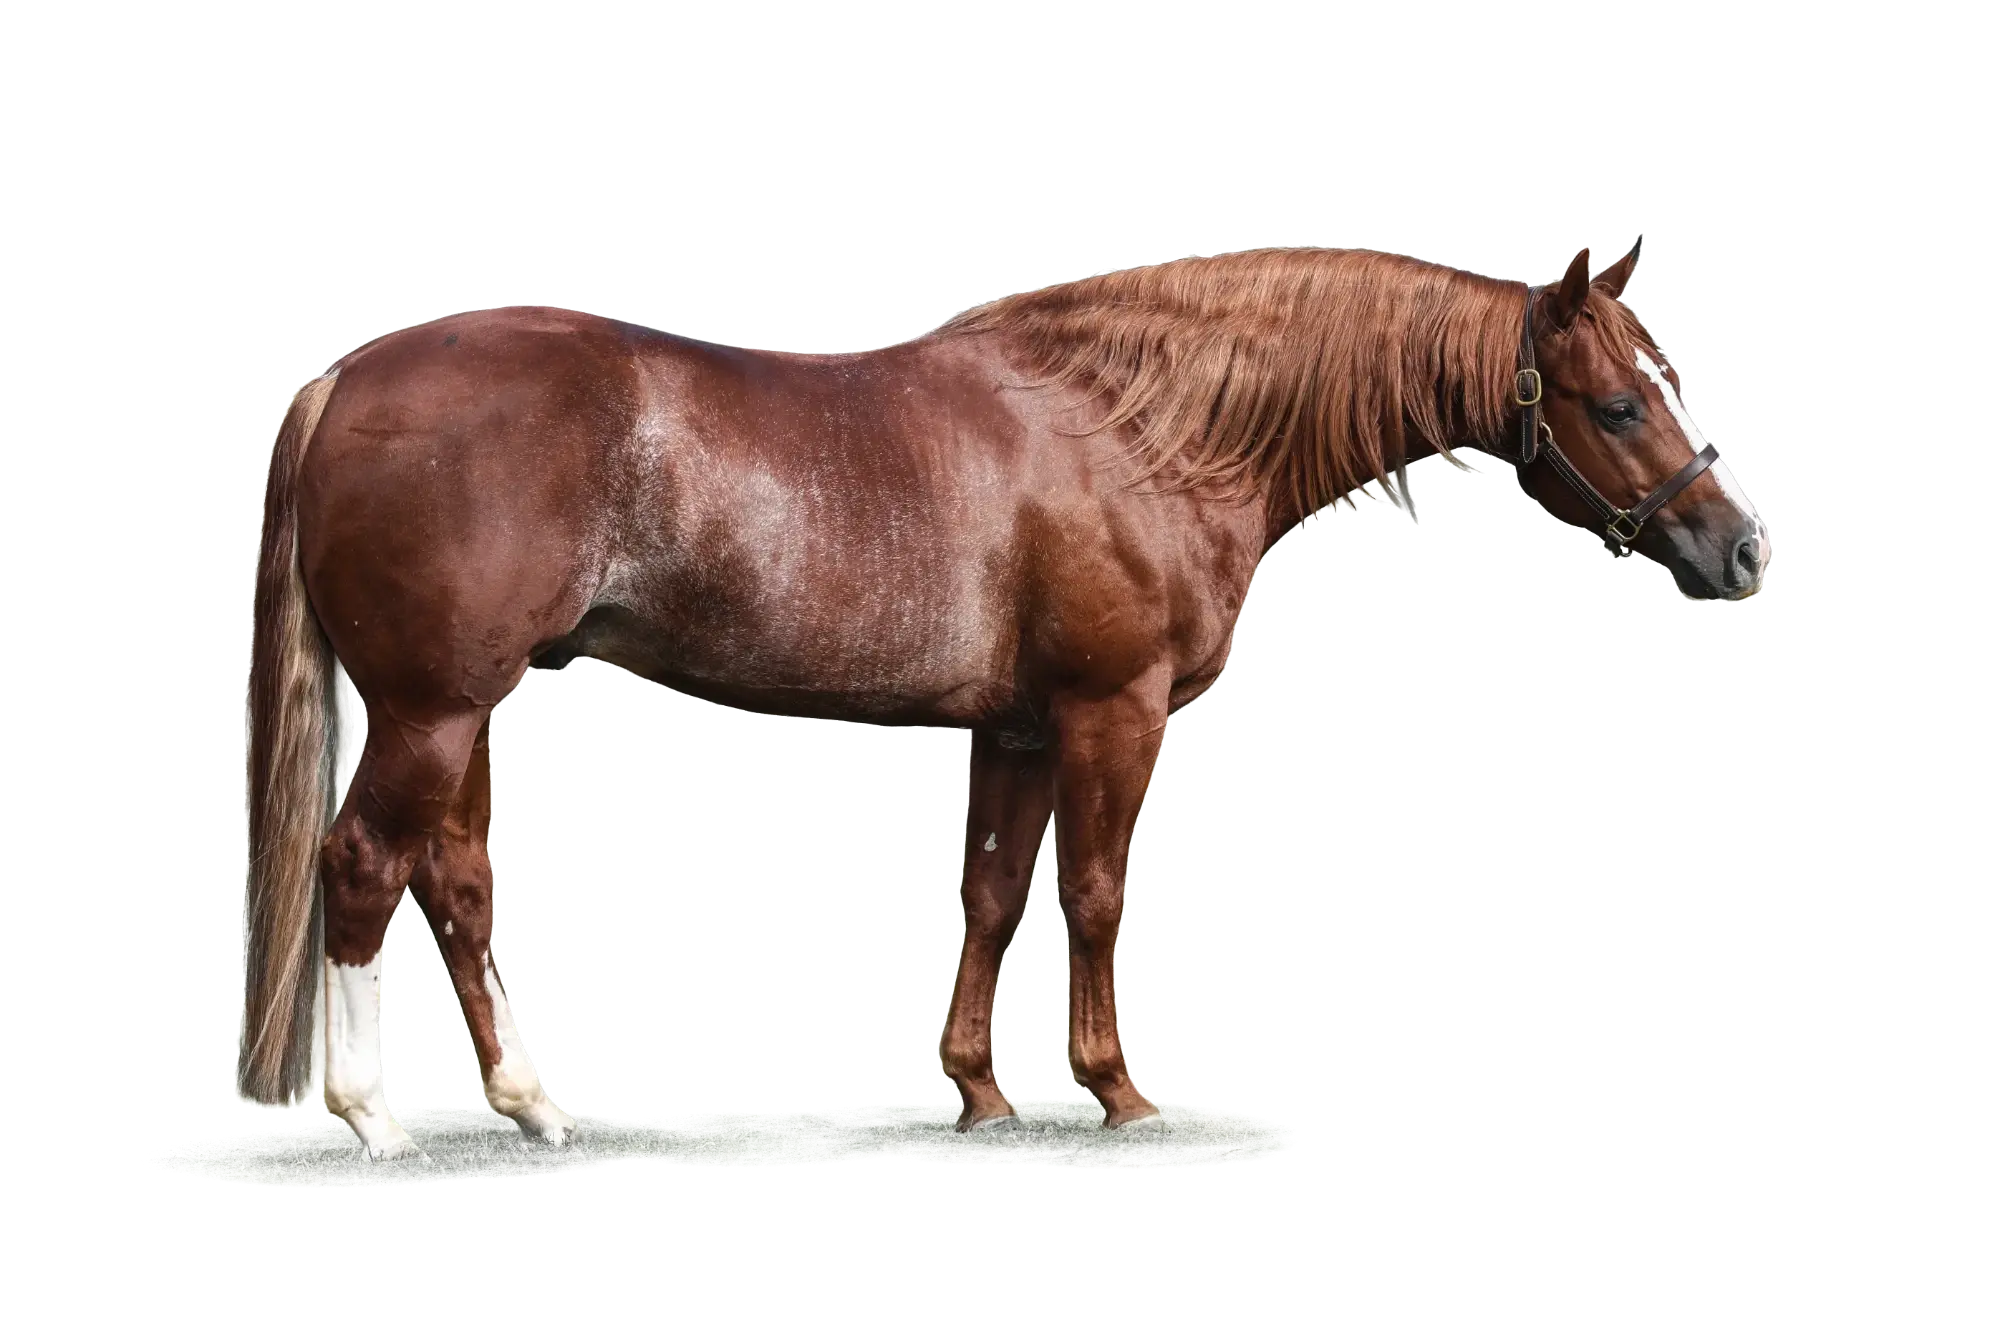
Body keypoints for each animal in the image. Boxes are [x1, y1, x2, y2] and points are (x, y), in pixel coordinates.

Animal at [240, 242, 1771, 1162]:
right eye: (1618, 405)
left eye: (1665, 382)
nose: (1746, 550)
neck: (1146, 432)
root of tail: (343, 380)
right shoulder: (1111, 713)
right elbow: (1092, 893)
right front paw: (1120, 1092)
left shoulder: (1016, 727)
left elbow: (987, 892)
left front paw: (978, 1089)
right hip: (434, 707)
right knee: (362, 867)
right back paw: (376, 1124)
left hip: (468, 706)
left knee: (456, 881)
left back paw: (535, 1107)